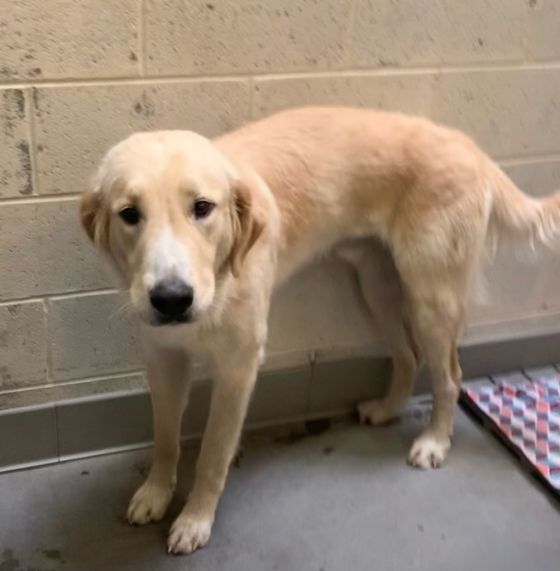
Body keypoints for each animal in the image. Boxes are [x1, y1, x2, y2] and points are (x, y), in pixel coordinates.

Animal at [80, 106, 560, 554]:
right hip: (377, 288)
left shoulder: (238, 367)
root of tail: (470, 148)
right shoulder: (163, 360)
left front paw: (196, 518)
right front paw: (156, 493)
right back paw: (387, 409)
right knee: (407, 356)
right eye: (129, 214)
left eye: (202, 208)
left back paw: (435, 442)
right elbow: (165, 437)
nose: (172, 298)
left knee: (450, 378)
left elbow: (213, 453)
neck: (219, 277)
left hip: (431, 300)